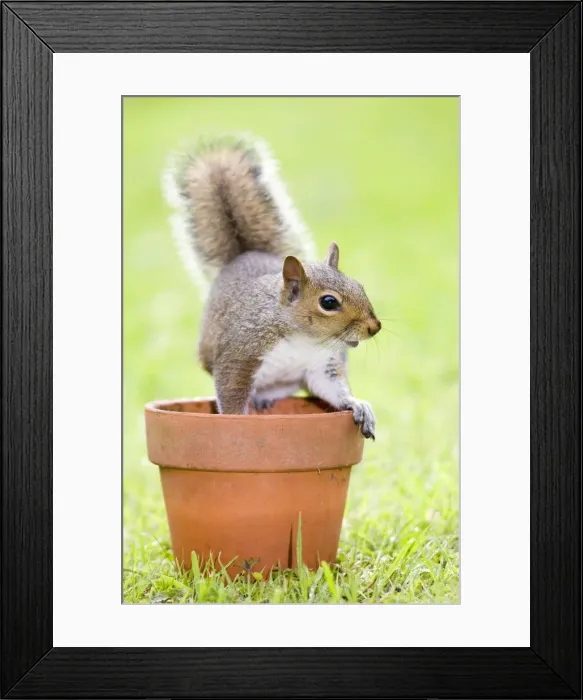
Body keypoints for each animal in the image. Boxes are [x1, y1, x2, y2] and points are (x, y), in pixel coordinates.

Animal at [162, 134, 381, 439]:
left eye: (359, 286)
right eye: (328, 302)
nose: (375, 327)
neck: (303, 340)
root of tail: (245, 255)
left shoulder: (322, 365)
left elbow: (332, 389)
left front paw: (358, 405)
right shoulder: (239, 354)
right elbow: (231, 391)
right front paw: (235, 422)